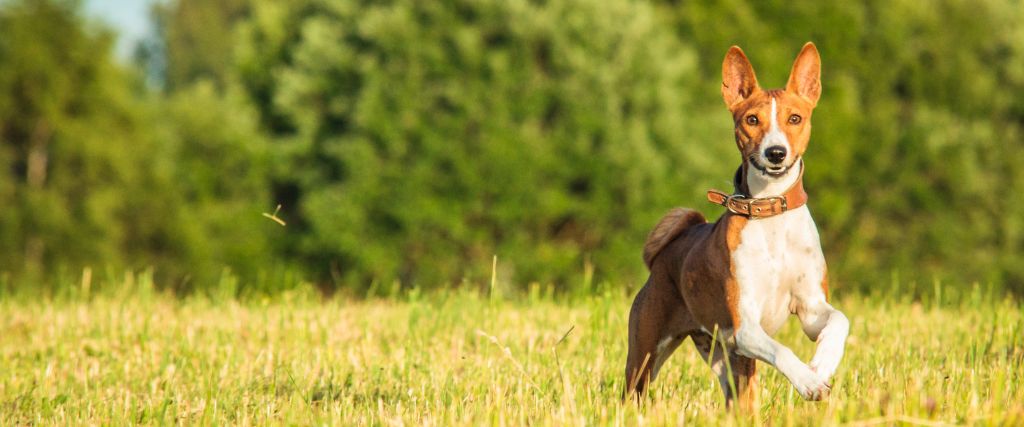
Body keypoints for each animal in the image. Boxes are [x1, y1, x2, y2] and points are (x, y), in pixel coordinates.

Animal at [618, 43, 851, 409]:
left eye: (795, 118)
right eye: (752, 120)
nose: (775, 152)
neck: (771, 215)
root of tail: (666, 254)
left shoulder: (811, 309)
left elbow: (840, 320)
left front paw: (822, 365)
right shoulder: (745, 326)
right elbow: (783, 350)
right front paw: (808, 382)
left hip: (724, 359)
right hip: (646, 355)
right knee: (633, 392)